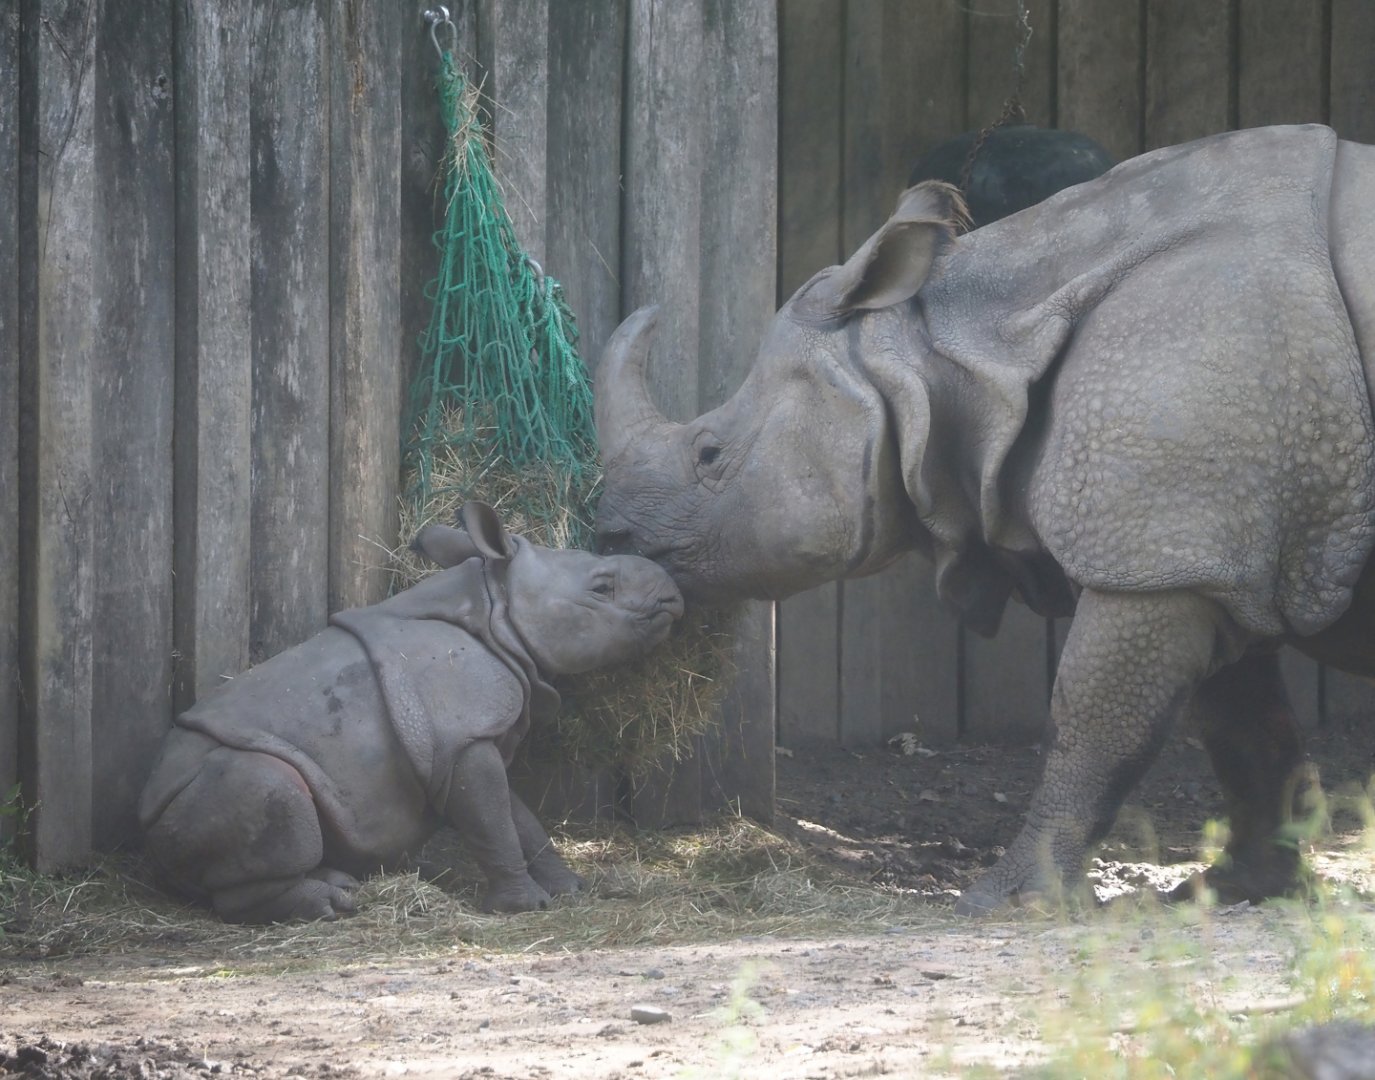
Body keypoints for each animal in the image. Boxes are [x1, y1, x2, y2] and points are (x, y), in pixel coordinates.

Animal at [140, 502, 684, 923]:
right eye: (602, 588)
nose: (674, 594)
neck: (495, 607)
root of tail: (139, 824)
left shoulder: (469, 737)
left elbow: (516, 815)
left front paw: (569, 888)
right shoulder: (460, 735)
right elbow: (493, 818)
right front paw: (524, 907)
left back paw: (340, 886)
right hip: (209, 783)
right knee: (274, 789)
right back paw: (332, 904)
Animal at [594, 124, 1375, 915]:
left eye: (709, 453)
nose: (608, 534)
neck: (962, 346)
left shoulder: (1159, 553)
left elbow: (1093, 723)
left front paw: (1006, 900)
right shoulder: (1201, 550)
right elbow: (1245, 728)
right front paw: (1233, 891)